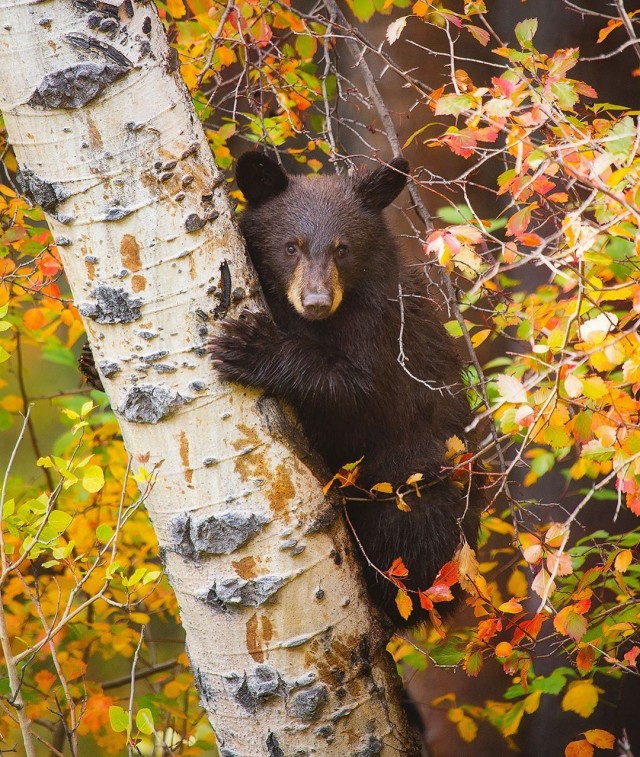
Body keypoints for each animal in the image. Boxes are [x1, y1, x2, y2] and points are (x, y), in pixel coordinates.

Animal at [210, 152, 480, 628]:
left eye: (343, 248)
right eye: (291, 246)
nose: (316, 301)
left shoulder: (384, 329)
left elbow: (359, 391)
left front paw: (250, 347)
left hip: (413, 483)